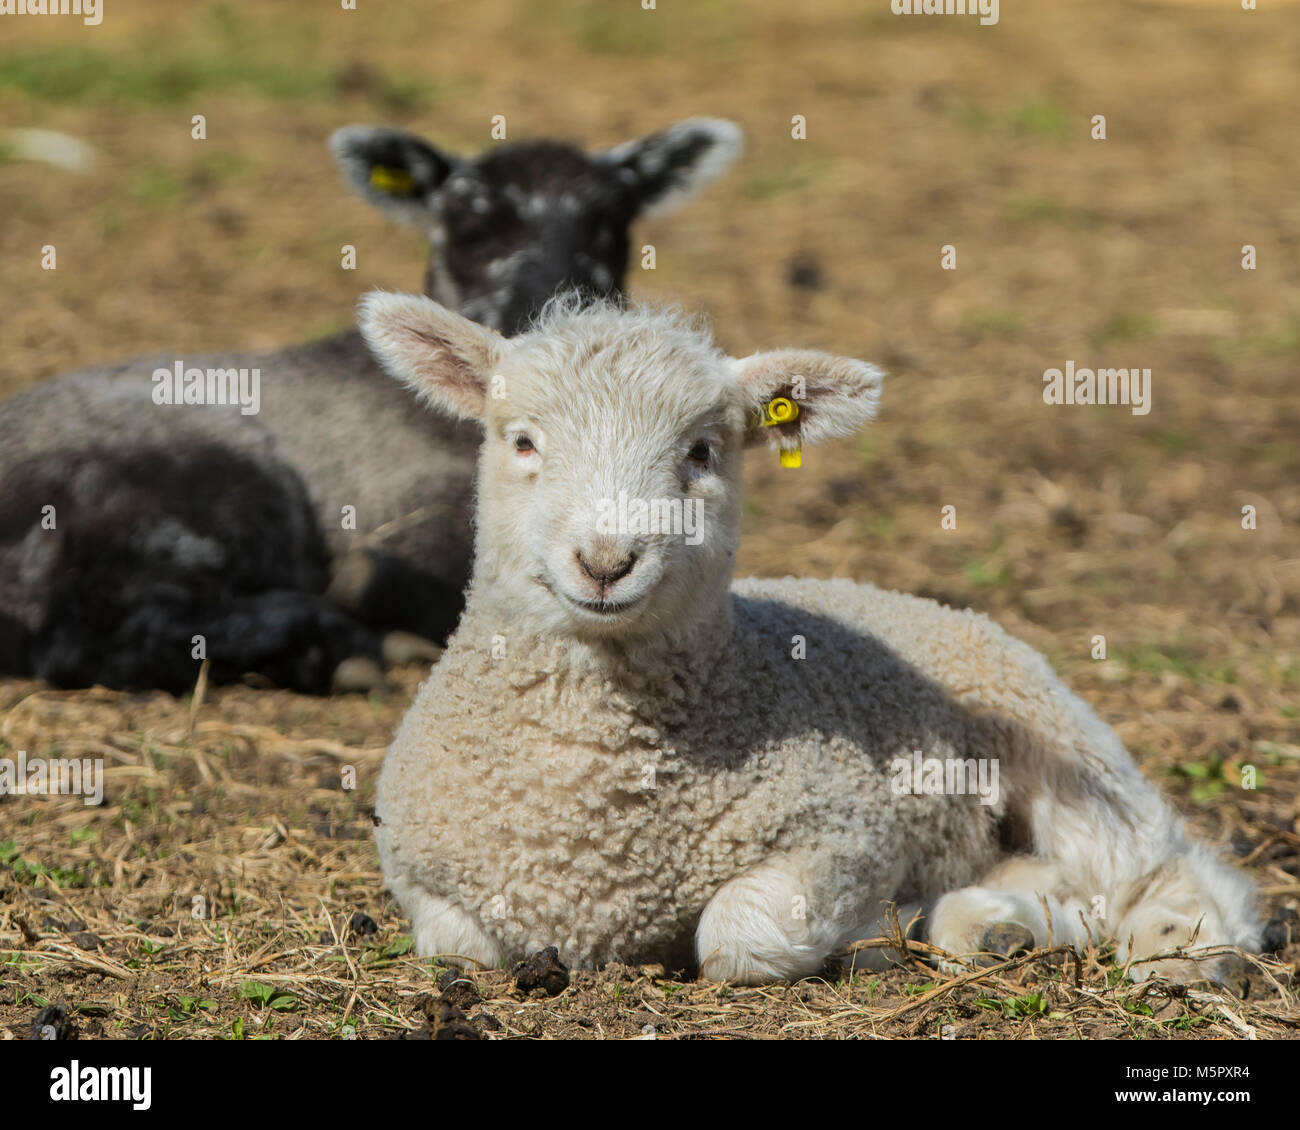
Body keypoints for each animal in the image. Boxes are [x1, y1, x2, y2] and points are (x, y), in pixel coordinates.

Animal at [356, 292, 1258, 988]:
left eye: (701, 452)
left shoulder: (844, 830)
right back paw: (993, 925)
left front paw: (868, 932)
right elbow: (463, 946)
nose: (606, 563)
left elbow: (737, 936)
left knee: (1168, 867)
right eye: (522, 441)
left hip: (1055, 739)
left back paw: (1178, 947)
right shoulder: (425, 881)